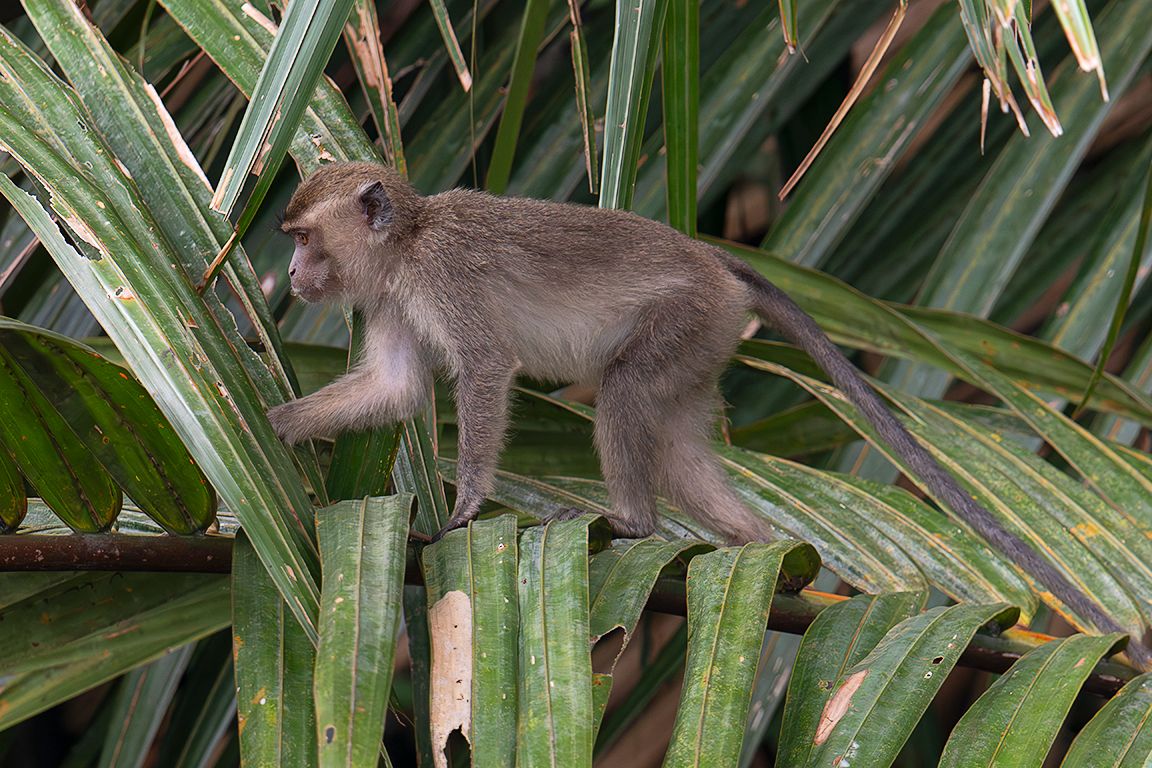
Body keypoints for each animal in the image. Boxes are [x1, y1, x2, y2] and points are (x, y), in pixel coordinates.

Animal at [267, 161, 1147, 662]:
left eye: (304, 236)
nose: (292, 274)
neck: (406, 244)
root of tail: (715, 260)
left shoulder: (443, 278)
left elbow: (484, 369)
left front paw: (468, 505)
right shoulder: (388, 299)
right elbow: (394, 390)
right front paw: (270, 426)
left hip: (686, 318)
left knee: (625, 392)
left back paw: (632, 525)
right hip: (708, 344)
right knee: (679, 446)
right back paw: (760, 554)